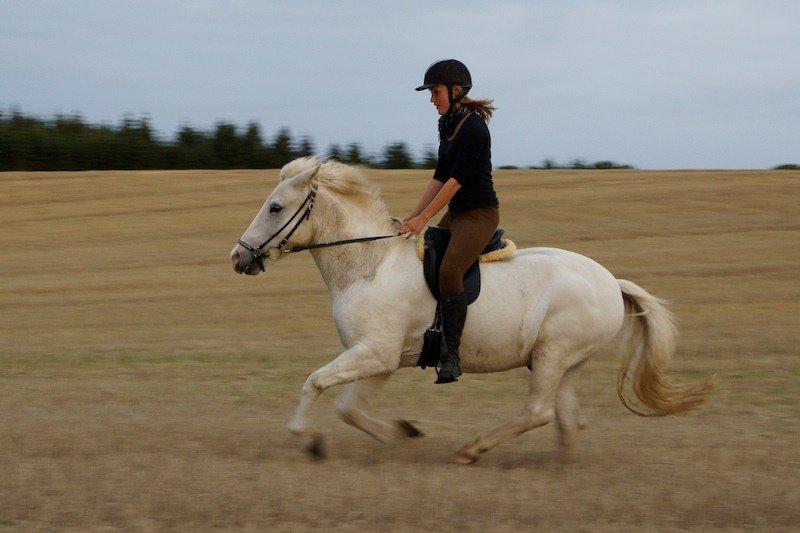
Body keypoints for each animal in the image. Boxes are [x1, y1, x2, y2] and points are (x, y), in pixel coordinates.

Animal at [230, 155, 712, 462]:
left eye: (275, 207)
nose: (237, 258)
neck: (370, 263)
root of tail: (612, 282)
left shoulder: (374, 353)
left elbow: (314, 383)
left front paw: (309, 441)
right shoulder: (382, 359)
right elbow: (350, 408)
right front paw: (402, 433)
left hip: (552, 353)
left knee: (538, 412)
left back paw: (473, 449)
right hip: (563, 362)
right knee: (566, 418)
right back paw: (561, 464)